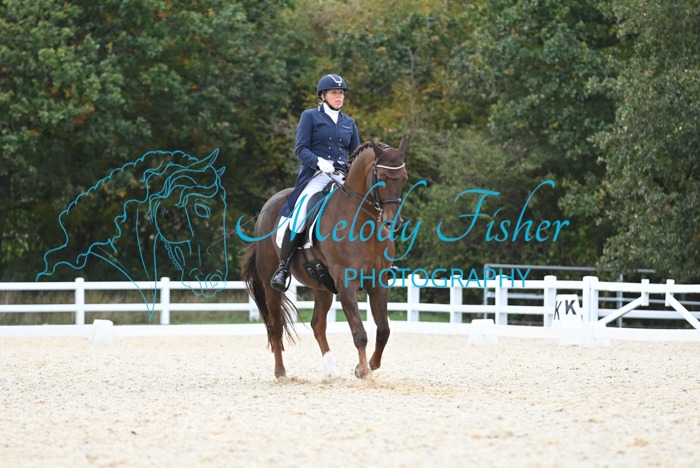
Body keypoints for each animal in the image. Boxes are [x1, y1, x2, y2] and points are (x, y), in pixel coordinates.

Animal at [240, 138, 409, 379]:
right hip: (270, 283)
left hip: (322, 286)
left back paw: (330, 370)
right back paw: (281, 372)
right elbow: (359, 332)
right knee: (276, 324)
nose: (392, 223)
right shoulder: (346, 283)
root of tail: (266, 208)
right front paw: (363, 371)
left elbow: (384, 330)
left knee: (318, 324)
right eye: (382, 178)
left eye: (404, 178)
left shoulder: (378, 282)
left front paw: (368, 366)